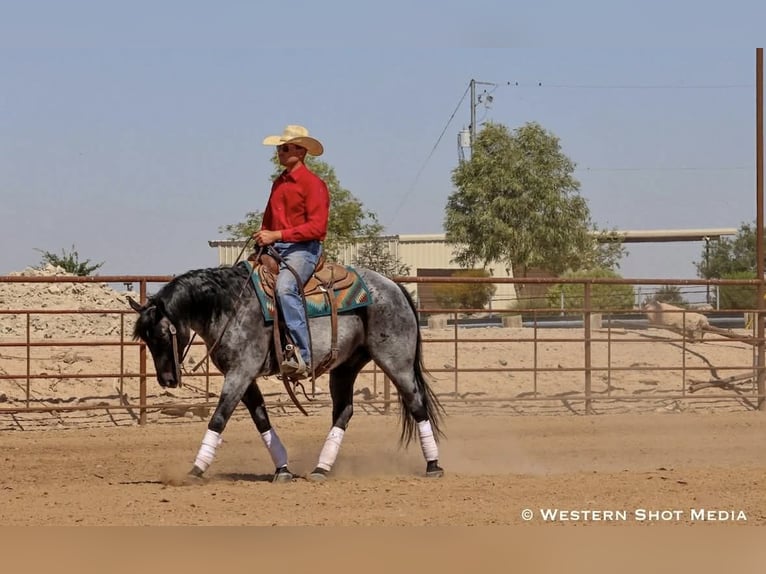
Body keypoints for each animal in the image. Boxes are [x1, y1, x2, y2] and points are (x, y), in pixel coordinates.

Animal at [128, 261, 445, 483]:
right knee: (344, 411)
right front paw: (282, 468)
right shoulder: (244, 376)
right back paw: (321, 468)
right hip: (345, 367)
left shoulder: (240, 372)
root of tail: (395, 287)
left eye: (162, 335)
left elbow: (219, 418)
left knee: (417, 404)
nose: (167, 380)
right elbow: (261, 419)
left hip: (396, 361)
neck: (230, 305)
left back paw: (433, 465)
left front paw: (195, 469)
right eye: (145, 338)